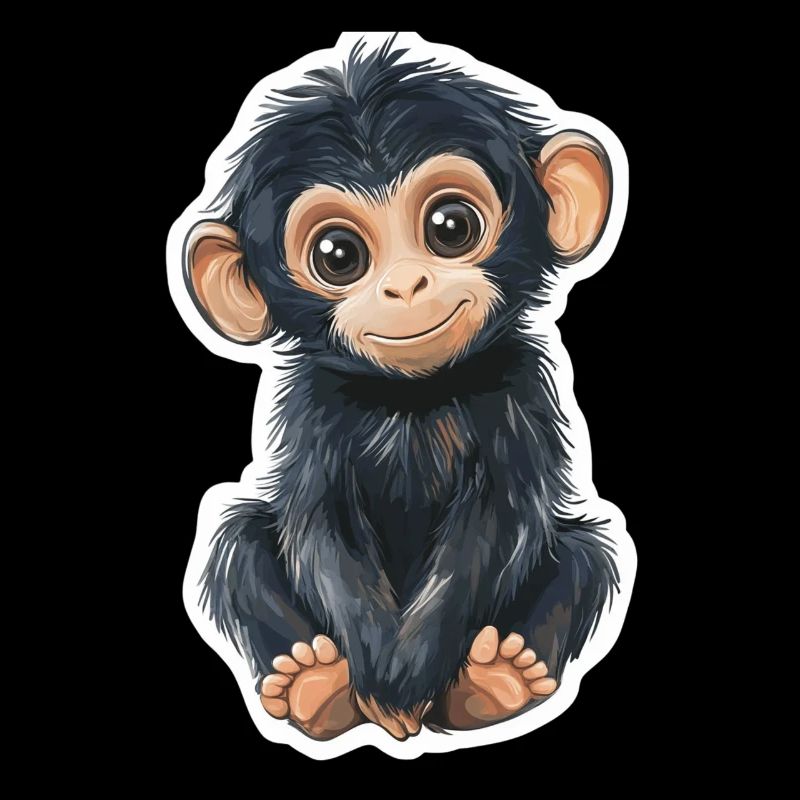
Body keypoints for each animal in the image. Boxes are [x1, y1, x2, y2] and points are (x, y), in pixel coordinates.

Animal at [178, 36, 628, 743]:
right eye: (338, 255)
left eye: (451, 226)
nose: (405, 285)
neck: (410, 399)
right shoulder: (313, 412)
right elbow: (319, 525)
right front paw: (379, 677)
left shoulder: (518, 394)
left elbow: (496, 525)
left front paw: (407, 673)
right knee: (241, 541)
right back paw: (315, 684)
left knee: (585, 556)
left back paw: (495, 683)